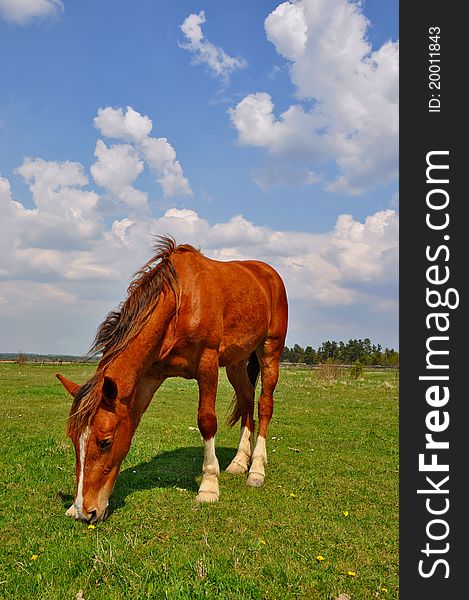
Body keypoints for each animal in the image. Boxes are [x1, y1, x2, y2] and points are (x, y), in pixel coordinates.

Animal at [56, 237, 288, 524]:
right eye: (74, 439)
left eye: (105, 442)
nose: (84, 511)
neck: (180, 303)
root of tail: (268, 273)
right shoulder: (149, 377)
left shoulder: (208, 364)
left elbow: (207, 422)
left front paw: (208, 485)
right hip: (236, 362)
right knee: (246, 401)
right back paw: (238, 462)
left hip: (270, 352)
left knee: (264, 405)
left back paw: (256, 469)